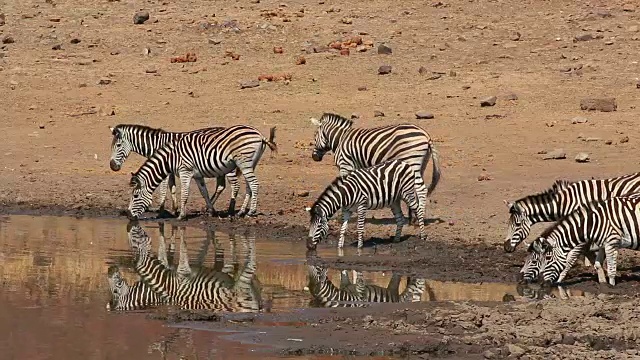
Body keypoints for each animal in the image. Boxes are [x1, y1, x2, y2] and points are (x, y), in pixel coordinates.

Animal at [109, 124, 241, 214]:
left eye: (118, 145)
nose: (112, 166)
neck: (157, 144)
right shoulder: (169, 170)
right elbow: (172, 188)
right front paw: (174, 209)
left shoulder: (164, 169)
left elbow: (163, 189)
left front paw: (161, 210)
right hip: (219, 169)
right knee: (221, 186)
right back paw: (209, 207)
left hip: (228, 168)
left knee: (235, 185)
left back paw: (230, 210)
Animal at [128, 124, 278, 219]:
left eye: (135, 196)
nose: (129, 216)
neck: (171, 158)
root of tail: (259, 135)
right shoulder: (198, 175)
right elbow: (204, 192)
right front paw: (211, 211)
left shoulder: (185, 171)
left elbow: (185, 193)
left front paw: (181, 215)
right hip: (250, 163)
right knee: (249, 185)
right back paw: (241, 212)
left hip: (244, 162)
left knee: (254, 184)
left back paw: (250, 212)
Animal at [308, 111, 440, 221]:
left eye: (315, 136)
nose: (314, 157)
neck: (340, 139)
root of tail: (426, 135)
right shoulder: (356, 167)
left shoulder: (345, 164)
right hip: (420, 164)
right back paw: (413, 217)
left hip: (412, 161)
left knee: (421, 189)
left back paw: (418, 218)